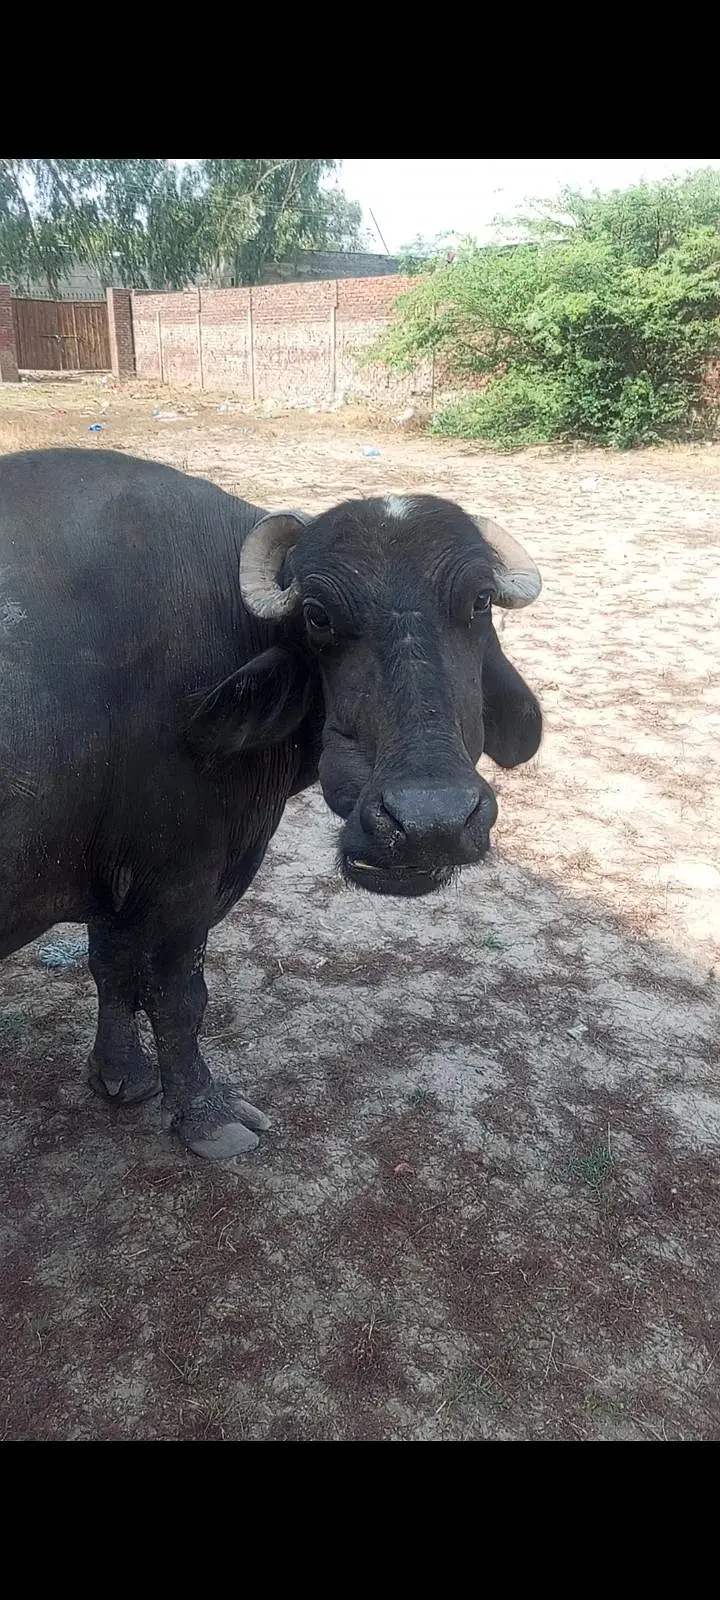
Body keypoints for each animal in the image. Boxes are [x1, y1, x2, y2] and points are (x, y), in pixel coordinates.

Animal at [0, 449, 542, 1164]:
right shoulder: (182, 876)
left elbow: (111, 965)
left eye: (479, 601)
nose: (430, 822)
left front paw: (121, 1074)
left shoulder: (119, 882)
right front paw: (206, 1115)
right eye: (317, 615)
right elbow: (177, 993)